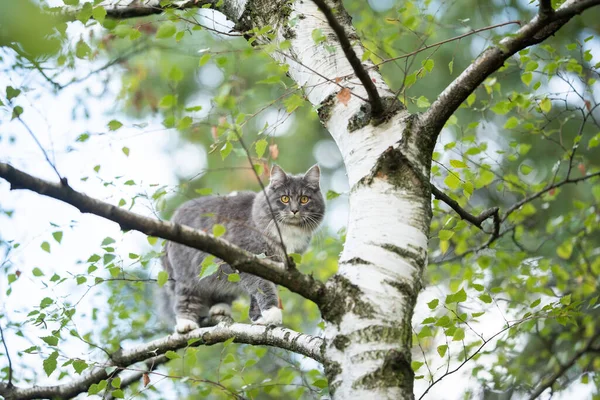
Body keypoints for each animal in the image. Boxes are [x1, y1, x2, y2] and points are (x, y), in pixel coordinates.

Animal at [162, 164, 326, 332]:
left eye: (304, 199)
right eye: (284, 198)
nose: (294, 210)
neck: (287, 231)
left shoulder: (277, 269)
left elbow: (257, 294)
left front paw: (259, 318)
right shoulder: (250, 260)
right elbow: (264, 287)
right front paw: (272, 312)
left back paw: (220, 308)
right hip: (188, 275)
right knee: (185, 298)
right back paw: (186, 323)